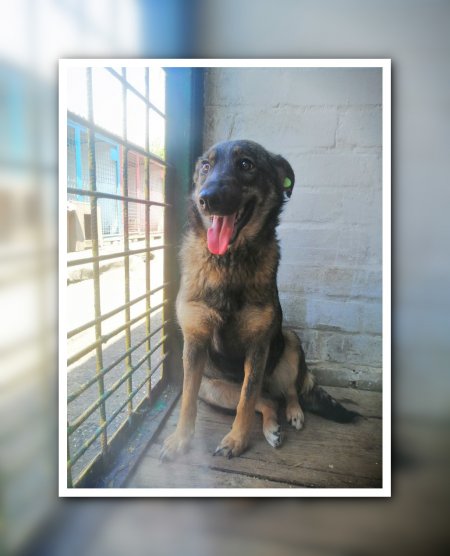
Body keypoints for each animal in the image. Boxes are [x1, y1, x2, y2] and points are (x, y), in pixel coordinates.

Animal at [160, 139, 359, 461]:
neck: (228, 261)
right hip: (214, 389)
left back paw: (294, 413)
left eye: (246, 164)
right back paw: (272, 426)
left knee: (285, 393)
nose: (206, 199)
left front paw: (237, 440)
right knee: (266, 401)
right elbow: (188, 400)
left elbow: (247, 399)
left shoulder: (258, 346)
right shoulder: (195, 343)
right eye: (206, 166)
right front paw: (181, 439)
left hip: (289, 343)